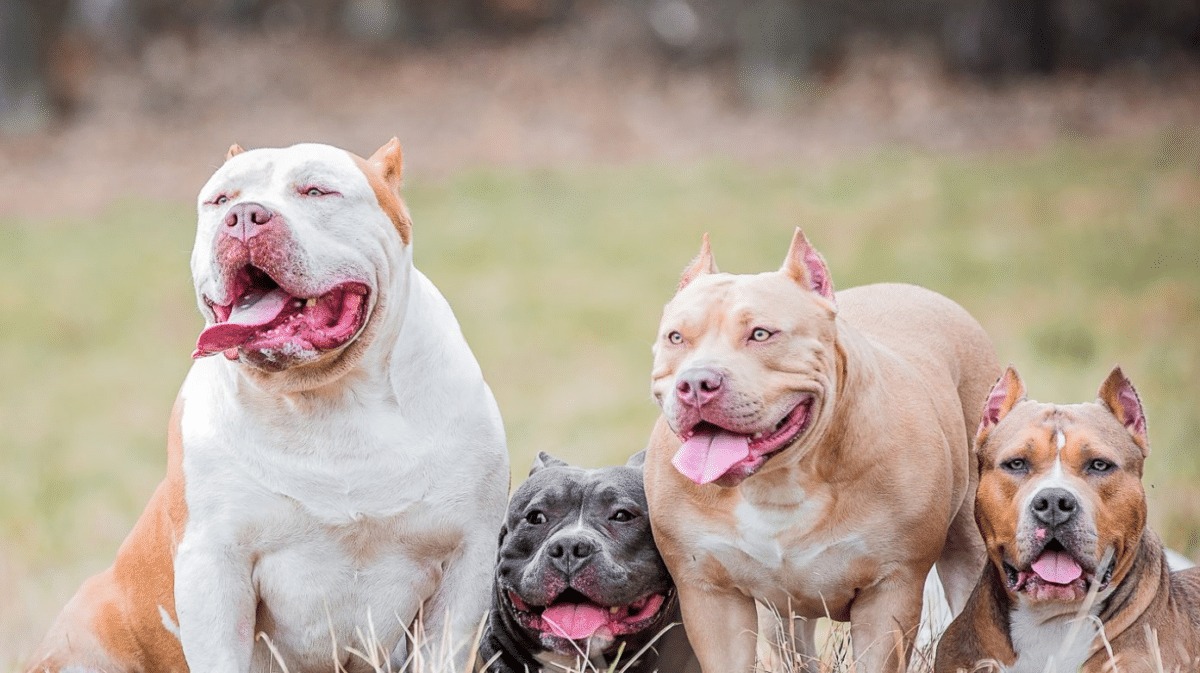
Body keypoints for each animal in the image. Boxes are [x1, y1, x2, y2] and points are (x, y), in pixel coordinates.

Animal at [24, 140, 511, 671]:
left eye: (316, 190)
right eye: (220, 199)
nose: (243, 217)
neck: (327, 400)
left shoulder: (465, 564)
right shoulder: (214, 569)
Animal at [643, 230, 998, 671]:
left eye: (761, 334)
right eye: (676, 337)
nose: (695, 383)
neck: (776, 481)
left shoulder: (891, 590)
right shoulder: (711, 595)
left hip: (969, 544)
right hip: (782, 617)